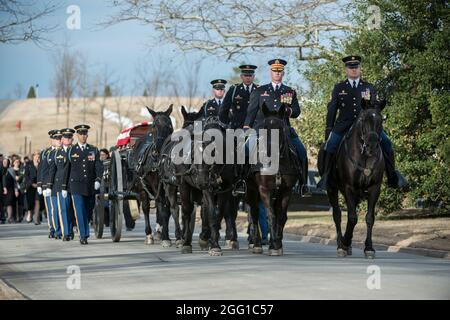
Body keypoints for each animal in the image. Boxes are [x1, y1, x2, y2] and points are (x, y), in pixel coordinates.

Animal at [244, 104, 300, 256]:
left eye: (280, 128)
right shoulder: (264, 189)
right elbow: (270, 215)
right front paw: (274, 244)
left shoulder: (286, 191)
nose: (267, 153)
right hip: (251, 190)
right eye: (264, 127)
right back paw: (257, 243)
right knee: (254, 213)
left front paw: (277, 244)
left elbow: (281, 216)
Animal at [318, 99, 384, 258]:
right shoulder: (349, 187)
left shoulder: (375, 188)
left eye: (381, 120)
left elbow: (369, 217)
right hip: (332, 188)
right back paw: (341, 244)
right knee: (337, 215)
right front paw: (345, 242)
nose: (372, 146)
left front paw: (369, 247)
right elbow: (352, 217)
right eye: (363, 119)